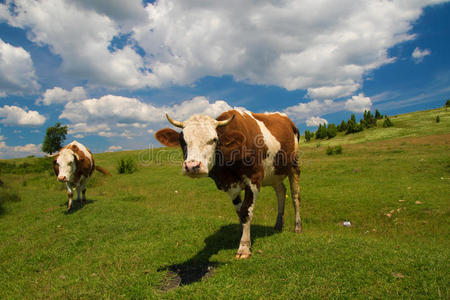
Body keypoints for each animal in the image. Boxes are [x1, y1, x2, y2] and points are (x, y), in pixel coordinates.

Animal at [156, 110, 302, 258]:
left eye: (214, 139)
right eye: (182, 140)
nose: (192, 166)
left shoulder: (254, 179)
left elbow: (246, 211)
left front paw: (244, 247)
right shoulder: (229, 185)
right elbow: (239, 212)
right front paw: (243, 235)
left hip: (294, 165)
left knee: (295, 196)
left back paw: (297, 227)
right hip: (275, 173)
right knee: (281, 192)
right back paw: (278, 225)